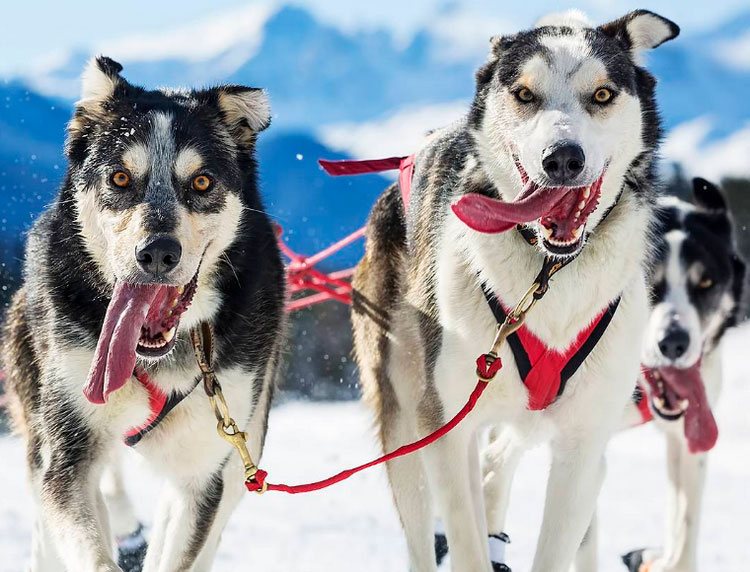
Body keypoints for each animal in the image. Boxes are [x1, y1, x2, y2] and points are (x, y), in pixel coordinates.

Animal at [2, 55, 284, 568]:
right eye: (119, 178)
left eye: (201, 181)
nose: (156, 253)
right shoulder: (68, 458)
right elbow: (91, 549)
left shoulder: (202, 472)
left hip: (239, 454)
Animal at [352, 8, 680, 572]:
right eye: (525, 94)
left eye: (602, 94)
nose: (562, 158)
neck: (548, 275)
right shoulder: (447, 428)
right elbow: (464, 542)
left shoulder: (582, 446)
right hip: (405, 415)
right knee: (424, 530)